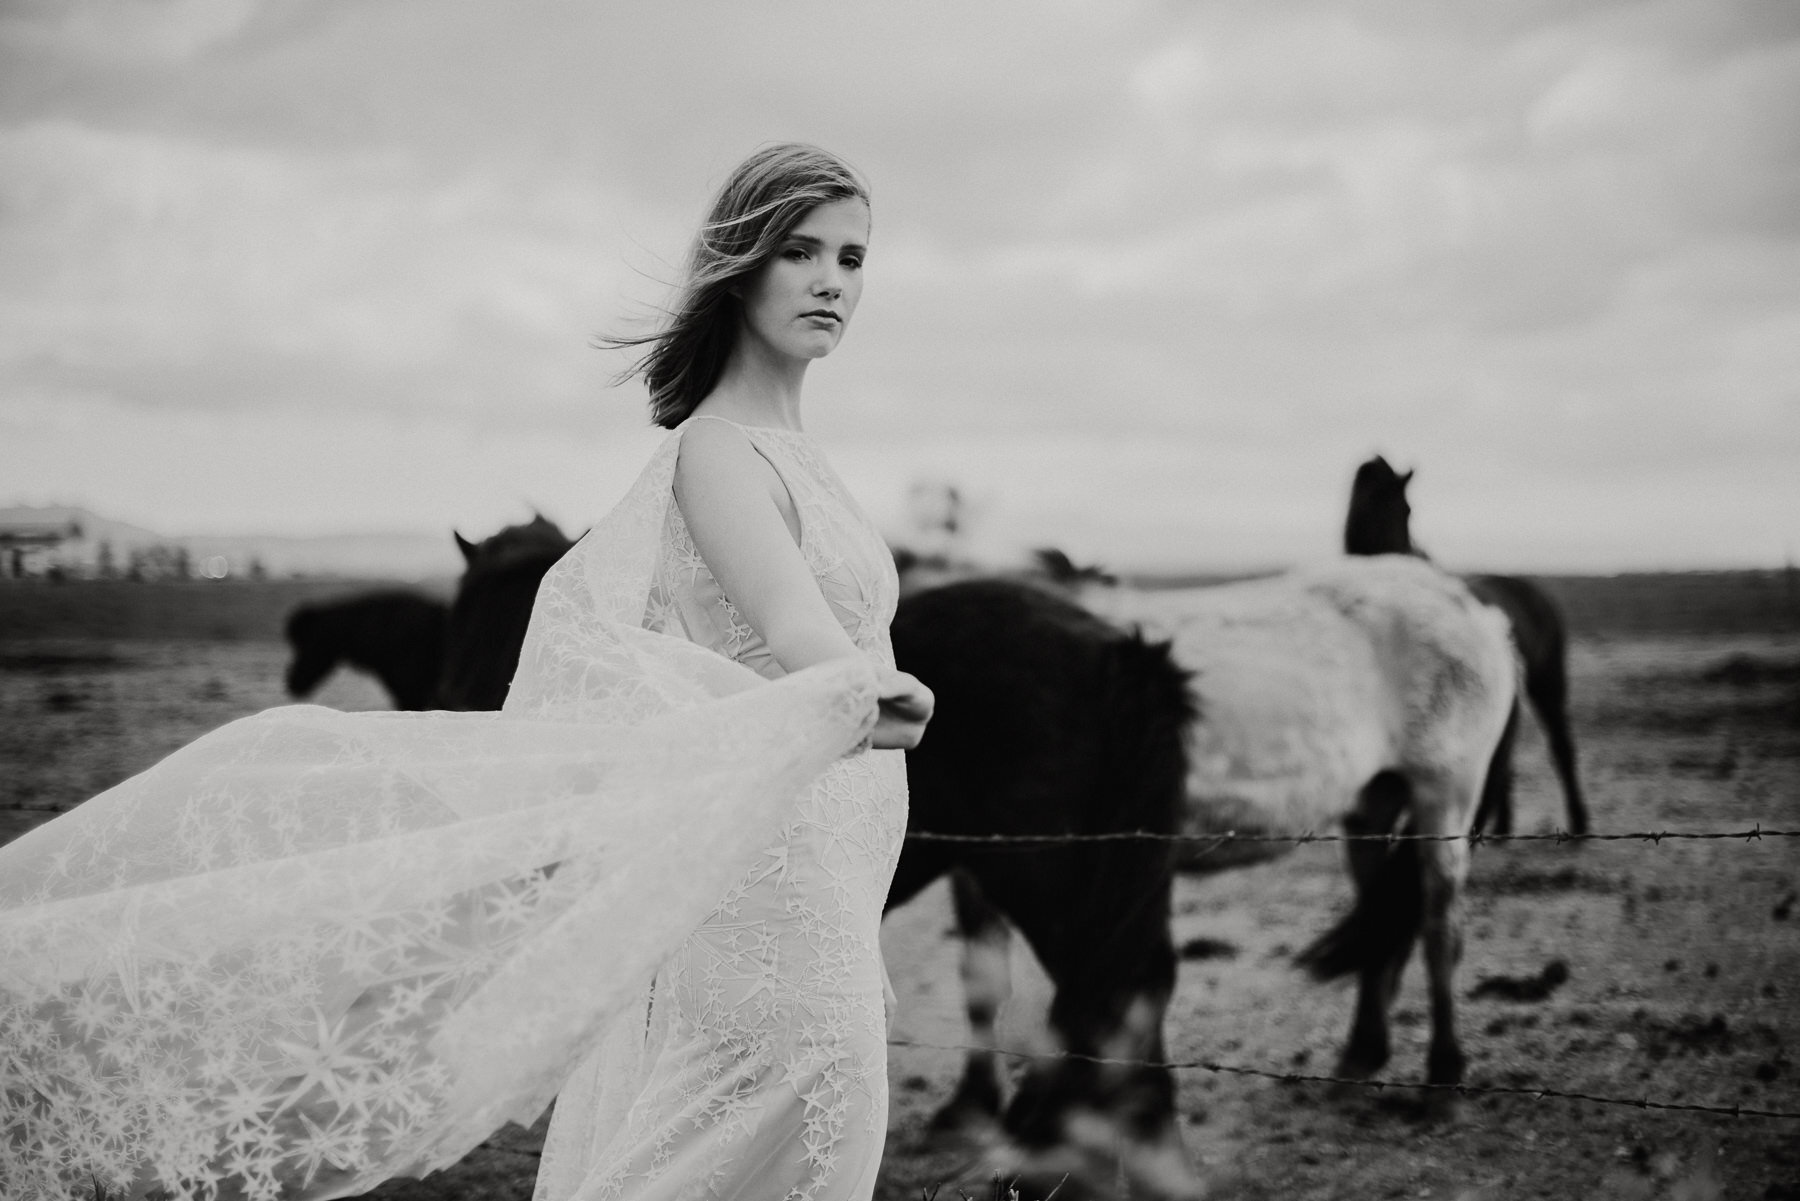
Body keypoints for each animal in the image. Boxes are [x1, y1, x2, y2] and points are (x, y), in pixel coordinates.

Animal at [921, 550, 1526, 1137]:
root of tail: (1470, 605)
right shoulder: (977, 863)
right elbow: (981, 977)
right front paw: (969, 1105)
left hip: (1443, 801)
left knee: (1440, 935)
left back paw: (1442, 1083)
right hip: (1371, 809)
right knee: (1382, 930)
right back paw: (1358, 1062)